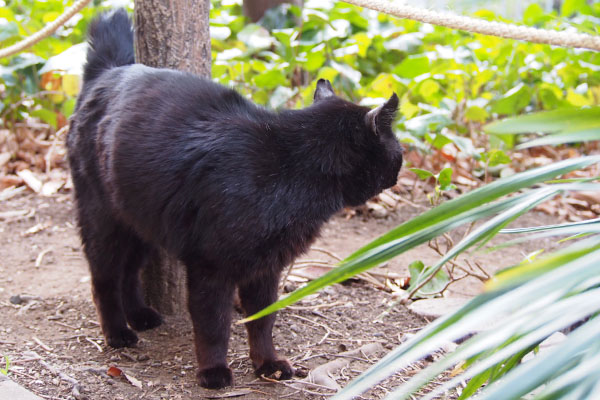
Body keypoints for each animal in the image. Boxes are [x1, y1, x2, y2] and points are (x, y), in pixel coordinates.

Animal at [68, 9, 400, 390]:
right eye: (398, 150)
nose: (398, 170)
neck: (291, 167)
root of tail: (108, 71)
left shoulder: (266, 268)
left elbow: (262, 320)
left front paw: (267, 364)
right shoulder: (211, 267)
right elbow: (214, 326)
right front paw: (213, 372)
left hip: (139, 221)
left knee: (130, 272)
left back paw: (139, 316)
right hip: (102, 218)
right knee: (104, 277)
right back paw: (118, 332)